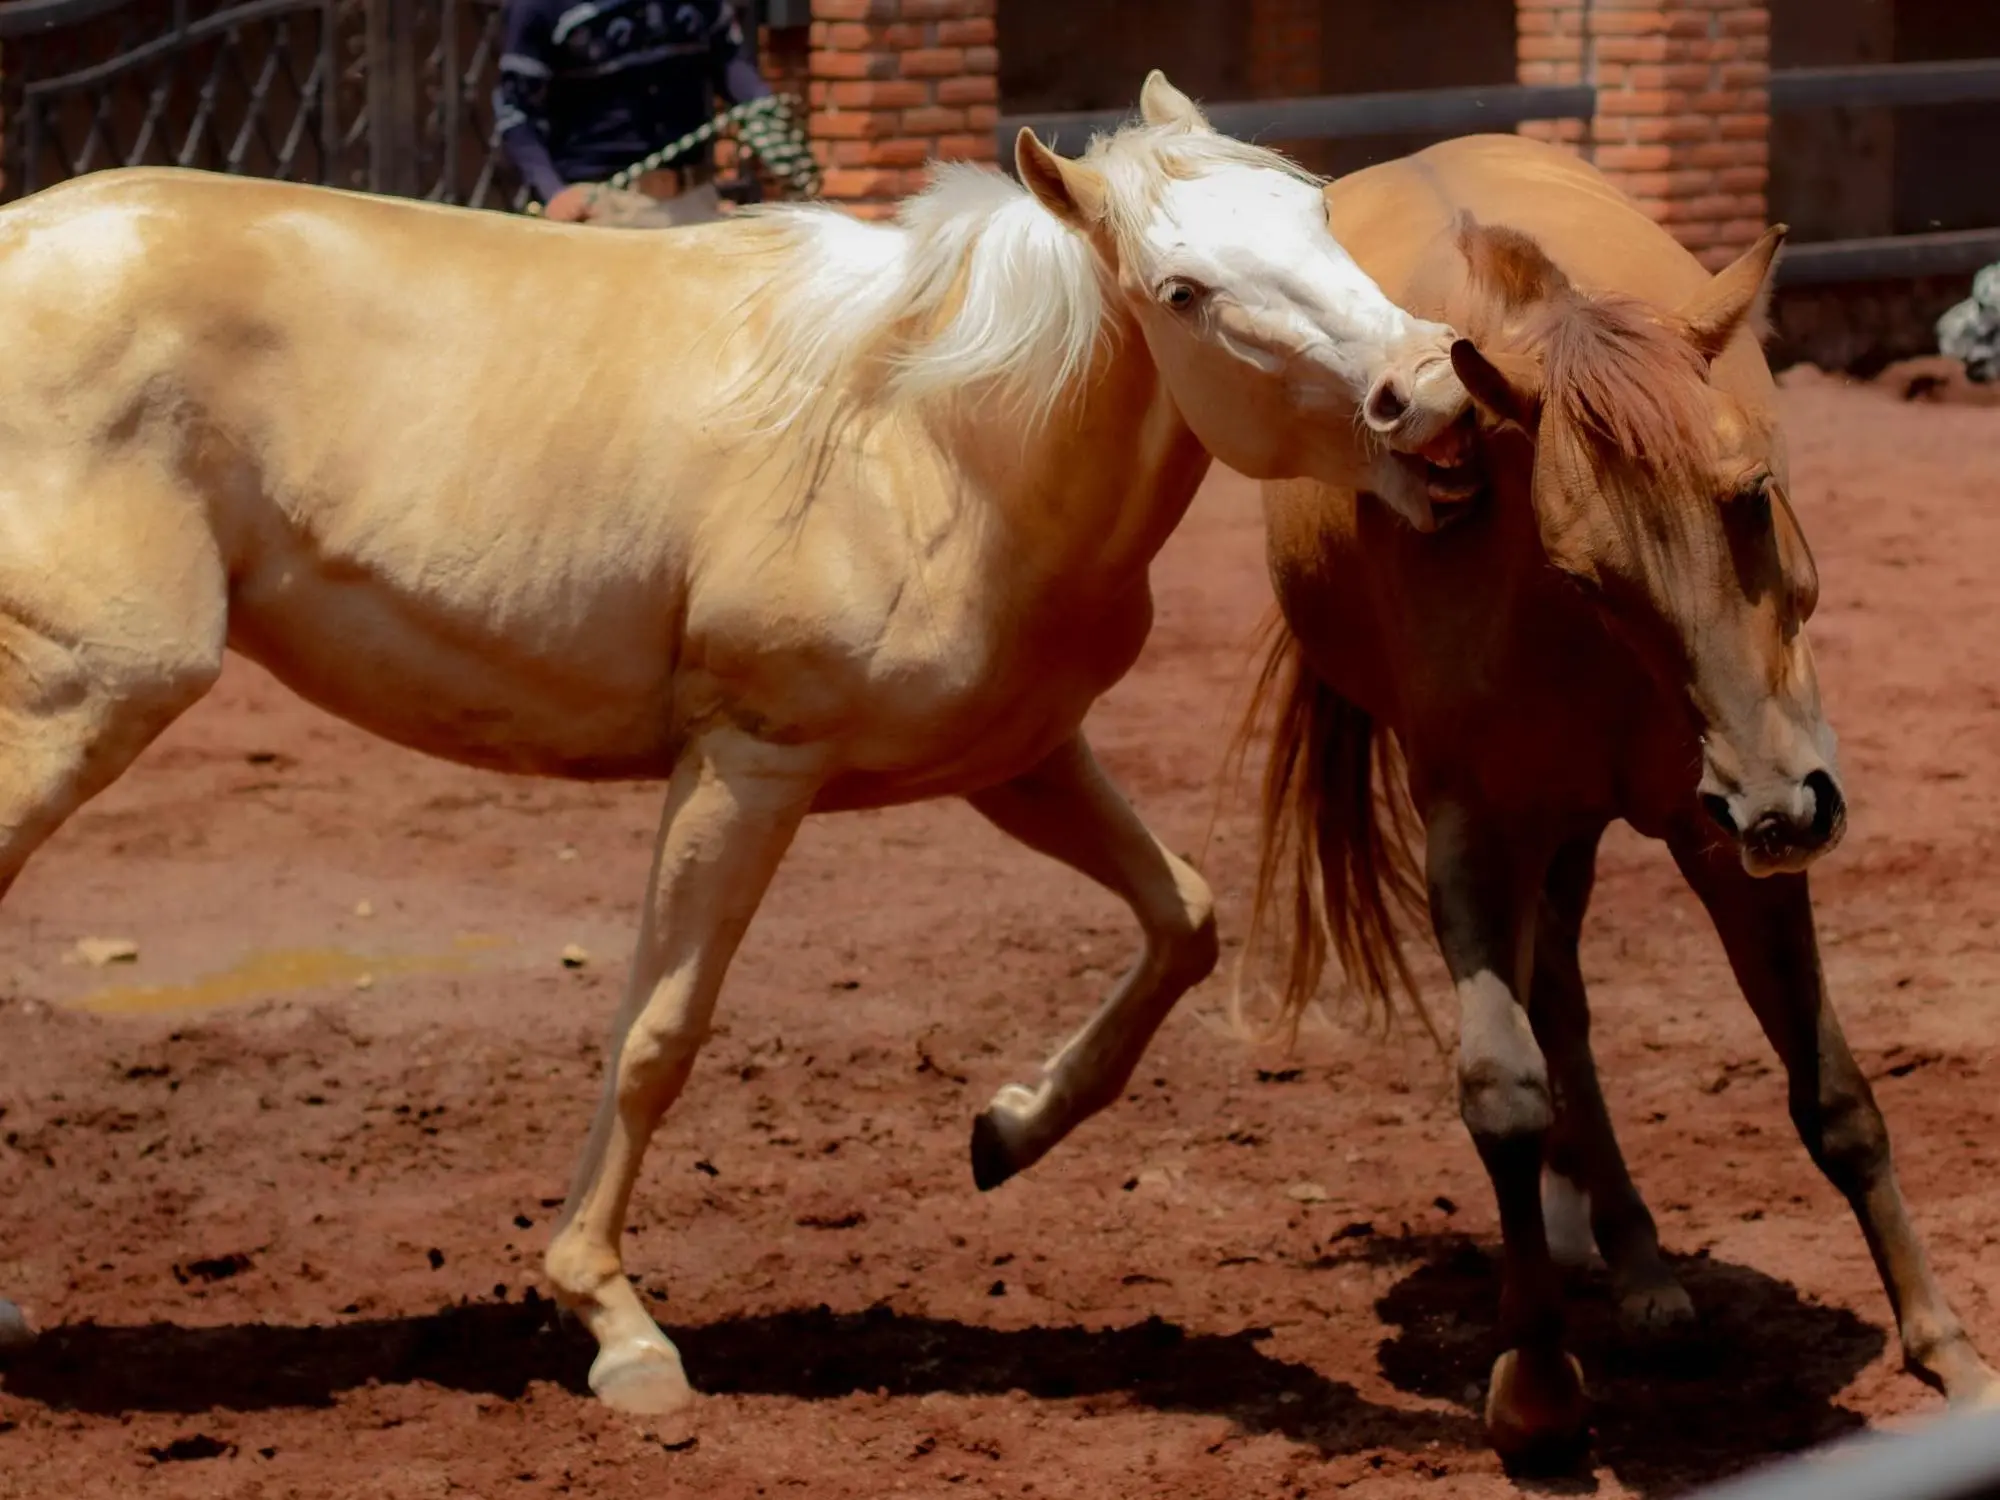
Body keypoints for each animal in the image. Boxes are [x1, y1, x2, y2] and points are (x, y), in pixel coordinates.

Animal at [0, 76, 1472, 1424]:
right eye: (1182, 289)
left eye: (1321, 215)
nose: (1434, 396)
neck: (925, 441)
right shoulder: (749, 764)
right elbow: (660, 1031)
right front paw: (617, 1329)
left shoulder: (1017, 759)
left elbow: (1186, 919)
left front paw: (1007, 1130)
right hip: (87, 697)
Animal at [1240, 132, 1992, 1472]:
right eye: (1586, 572)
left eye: (1749, 493)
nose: (1785, 809)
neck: (1581, 646)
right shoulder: (1475, 831)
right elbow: (1504, 1089)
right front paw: (1534, 1388)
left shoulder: (1714, 833)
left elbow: (1832, 1095)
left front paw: (1948, 1356)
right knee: (1559, 1019)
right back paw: (1624, 1262)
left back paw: (1641, 1271)